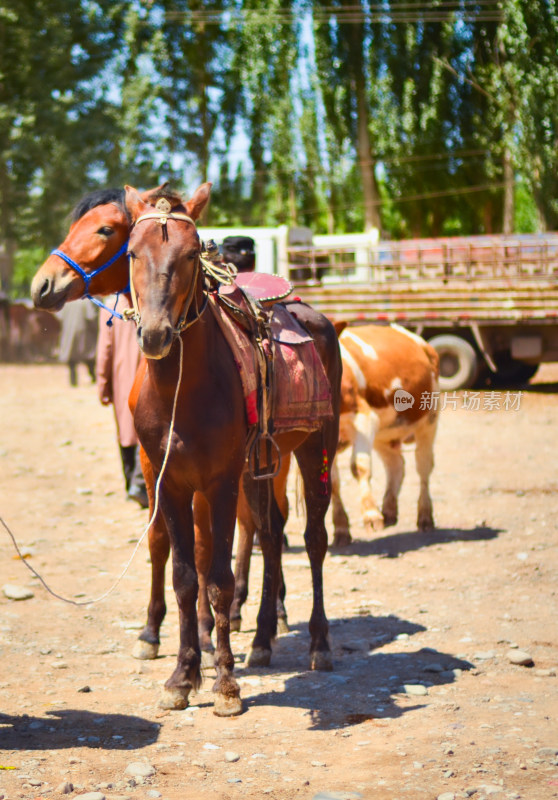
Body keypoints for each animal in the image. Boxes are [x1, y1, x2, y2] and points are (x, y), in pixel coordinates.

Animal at [122, 186, 342, 712]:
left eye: (189, 255)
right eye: (133, 253)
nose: (155, 334)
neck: (182, 390)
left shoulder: (219, 482)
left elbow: (218, 577)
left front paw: (224, 682)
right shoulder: (171, 482)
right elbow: (186, 577)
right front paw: (182, 676)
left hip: (315, 450)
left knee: (314, 540)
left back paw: (319, 644)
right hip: (264, 464)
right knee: (271, 533)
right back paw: (261, 640)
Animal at [332, 322, 442, 548]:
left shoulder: (364, 418)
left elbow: (359, 467)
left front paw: (370, 515)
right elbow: (332, 483)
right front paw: (341, 528)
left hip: (429, 419)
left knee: (424, 467)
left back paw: (425, 516)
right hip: (385, 432)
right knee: (396, 464)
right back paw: (390, 510)